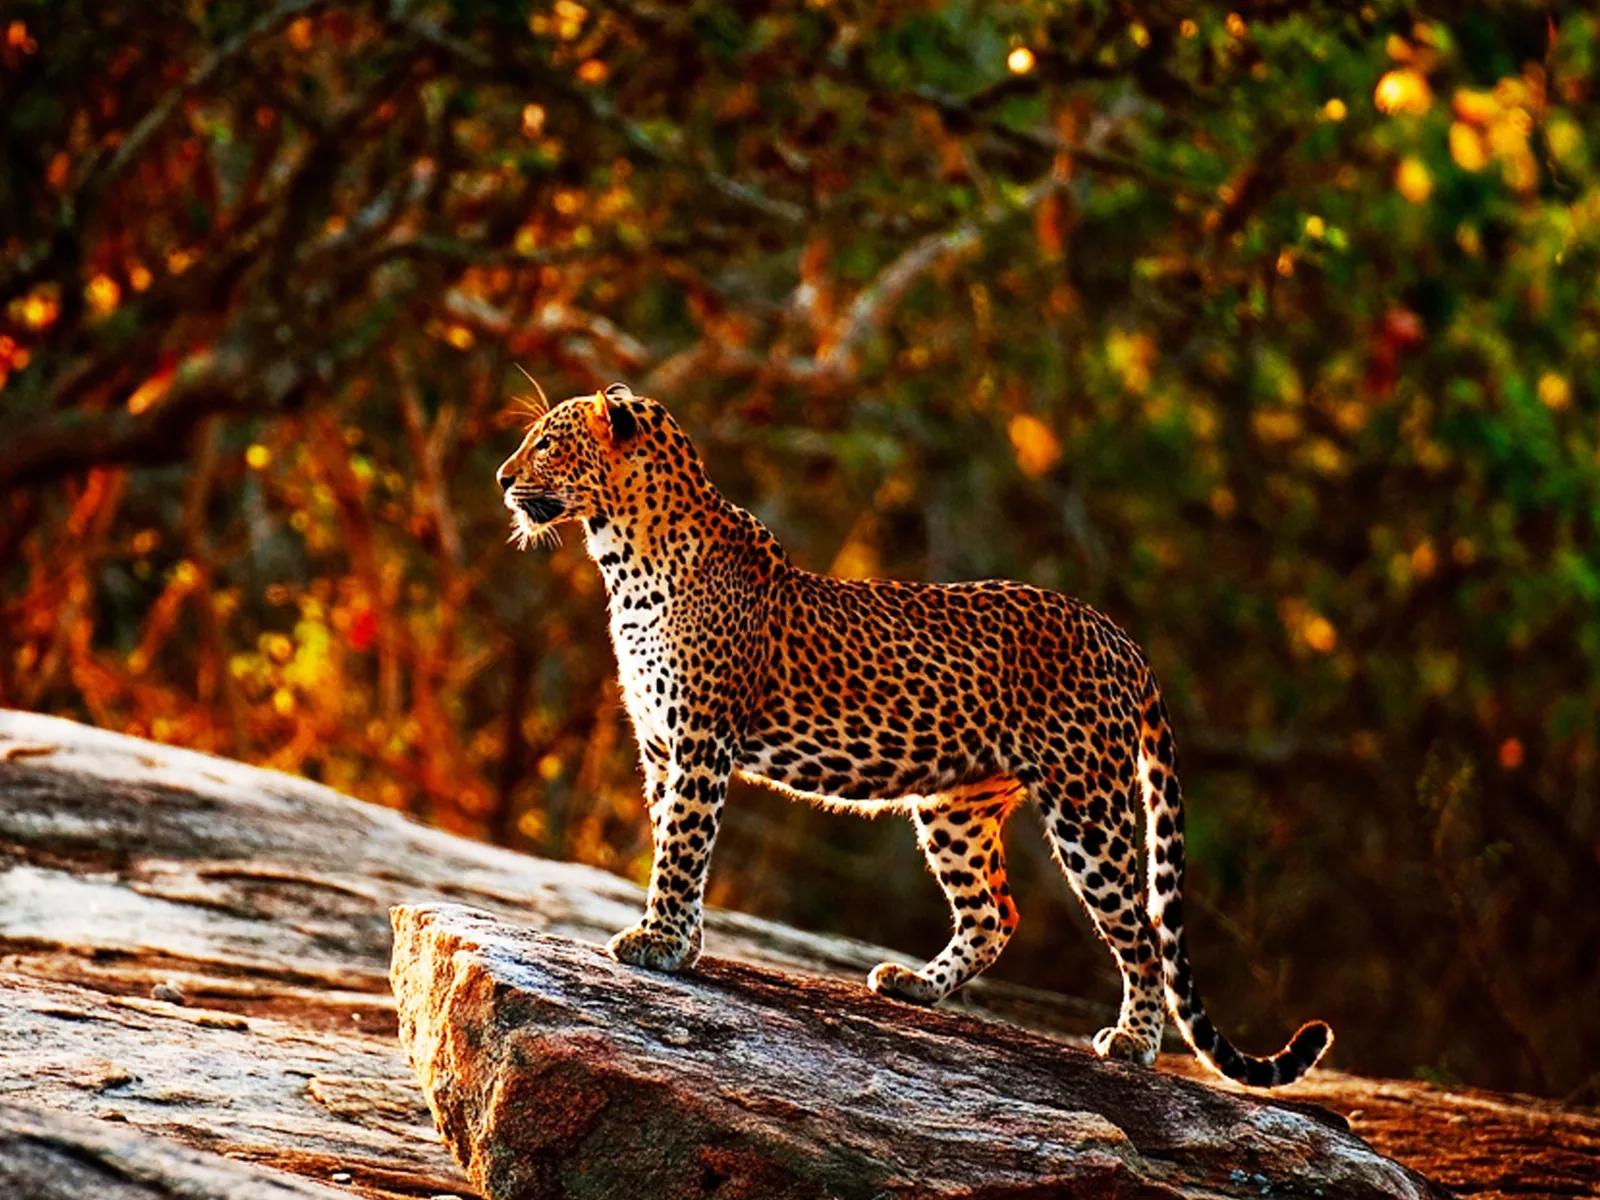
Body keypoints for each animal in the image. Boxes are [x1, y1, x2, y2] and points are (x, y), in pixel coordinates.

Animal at [497, 383, 1332, 1088]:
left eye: (546, 444)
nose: (503, 479)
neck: (624, 560)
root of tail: (1118, 634)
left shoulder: (701, 740)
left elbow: (680, 846)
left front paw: (659, 943)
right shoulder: (659, 746)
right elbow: (676, 841)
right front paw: (684, 939)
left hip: (1086, 806)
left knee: (1144, 931)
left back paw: (1133, 1042)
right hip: (955, 806)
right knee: (996, 914)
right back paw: (916, 986)